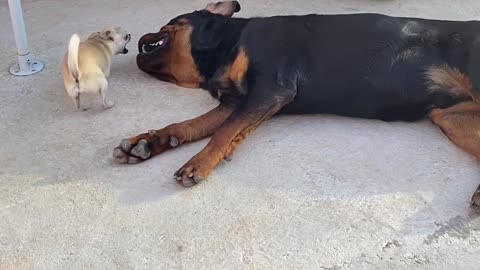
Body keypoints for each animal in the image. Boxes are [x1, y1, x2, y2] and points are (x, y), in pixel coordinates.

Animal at [113, 1, 480, 206]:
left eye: (167, 23)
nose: (136, 36)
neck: (226, 44)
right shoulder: (237, 102)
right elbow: (190, 125)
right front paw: (149, 142)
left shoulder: (270, 90)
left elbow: (223, 133)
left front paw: (198, 163)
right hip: (453, 120)